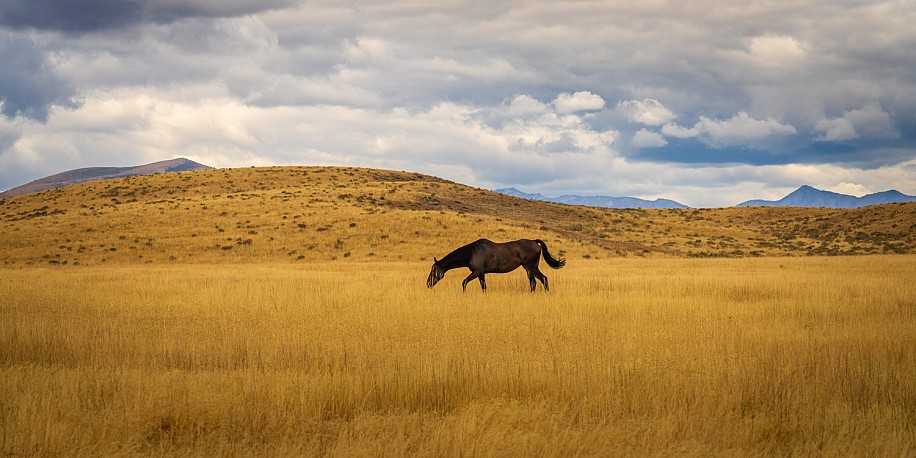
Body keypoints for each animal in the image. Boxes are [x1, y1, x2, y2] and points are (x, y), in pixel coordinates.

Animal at [426, 238, 560, 292]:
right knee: (544, 279)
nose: (428, 283)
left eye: (433, 270)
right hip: (534, 268)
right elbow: (483, 287)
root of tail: (535, 242)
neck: (470, 253)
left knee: (533, 283)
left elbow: (464, 282)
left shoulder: (477, 272)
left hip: (529, 268)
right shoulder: (481, 274)